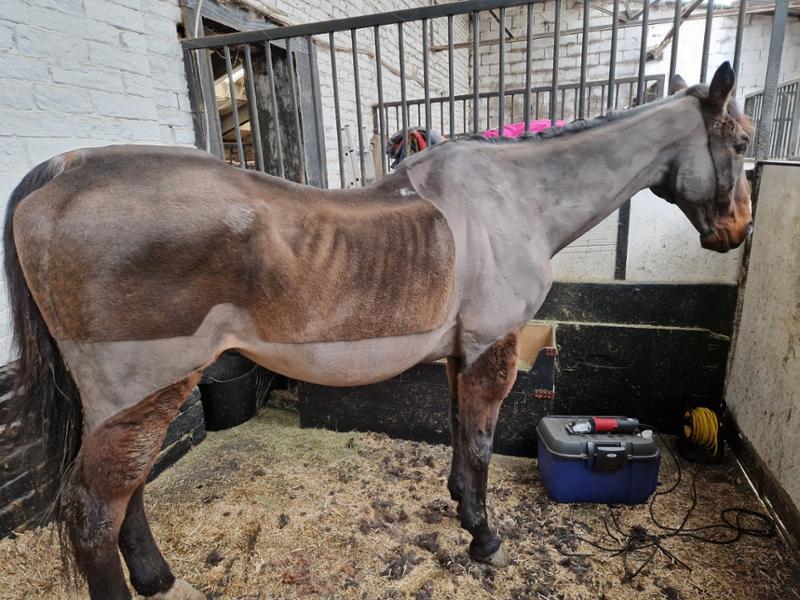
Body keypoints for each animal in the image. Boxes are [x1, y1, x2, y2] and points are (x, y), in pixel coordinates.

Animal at [3, 62, 752, 599]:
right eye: (742, 142)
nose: (737, 231)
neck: (516, 200)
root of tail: (66, 172)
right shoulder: (493, 349)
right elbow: (482, 443)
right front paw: (483, 538)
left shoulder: (459, 355)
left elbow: (459, 433)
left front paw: (460, 505)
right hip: (146, 389)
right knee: (93, 509)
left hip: (129, 400)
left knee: (122, 493)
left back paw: (157, 579)